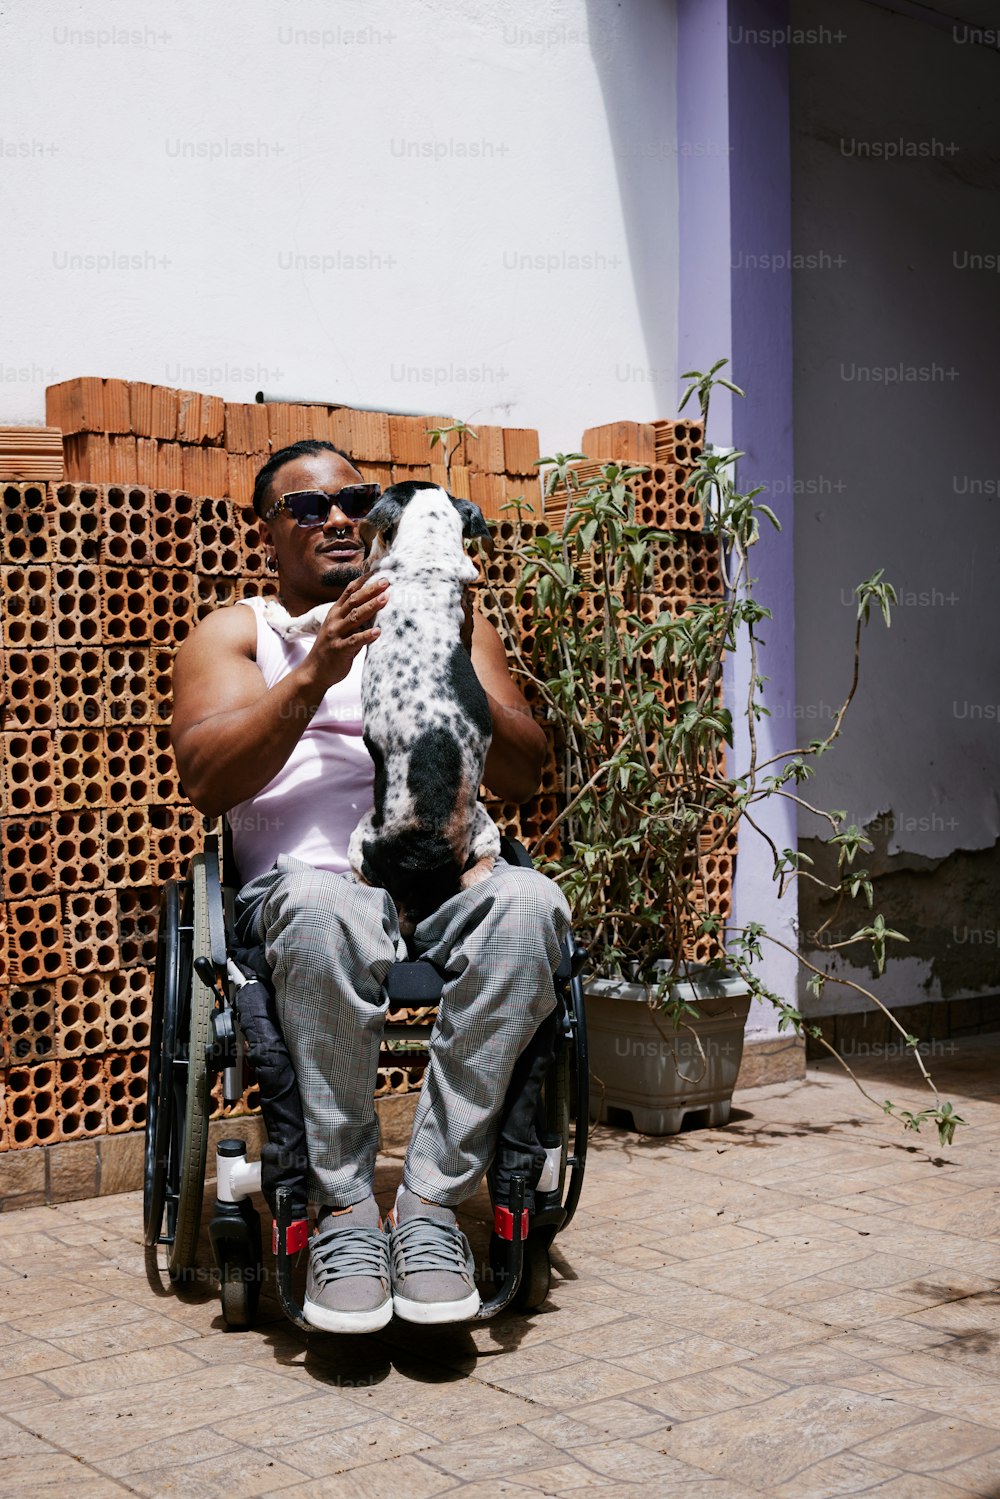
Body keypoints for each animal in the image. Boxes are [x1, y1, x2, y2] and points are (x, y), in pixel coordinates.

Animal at [263, 479, 500, 929]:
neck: (429, 561)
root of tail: (429, 876)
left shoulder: (348, 608)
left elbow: (308, 617)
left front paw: (275, 614)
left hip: (360, 836)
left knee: (366, 879)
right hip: (486, 827)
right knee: (483, 866)